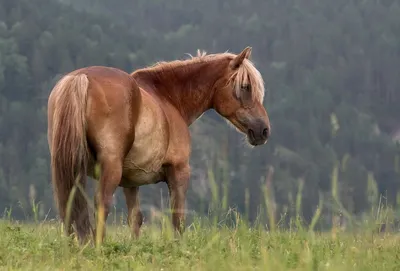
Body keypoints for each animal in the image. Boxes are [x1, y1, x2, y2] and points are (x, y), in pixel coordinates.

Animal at [47, 46, 272, 246]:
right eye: (245, 86)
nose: (263, 130)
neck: (168, 98)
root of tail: (81, 78)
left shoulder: (130, 182)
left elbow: (135, 218)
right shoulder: (179, 171)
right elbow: (178, 218)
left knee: (70, 204)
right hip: (110, 168)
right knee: (101, 203)